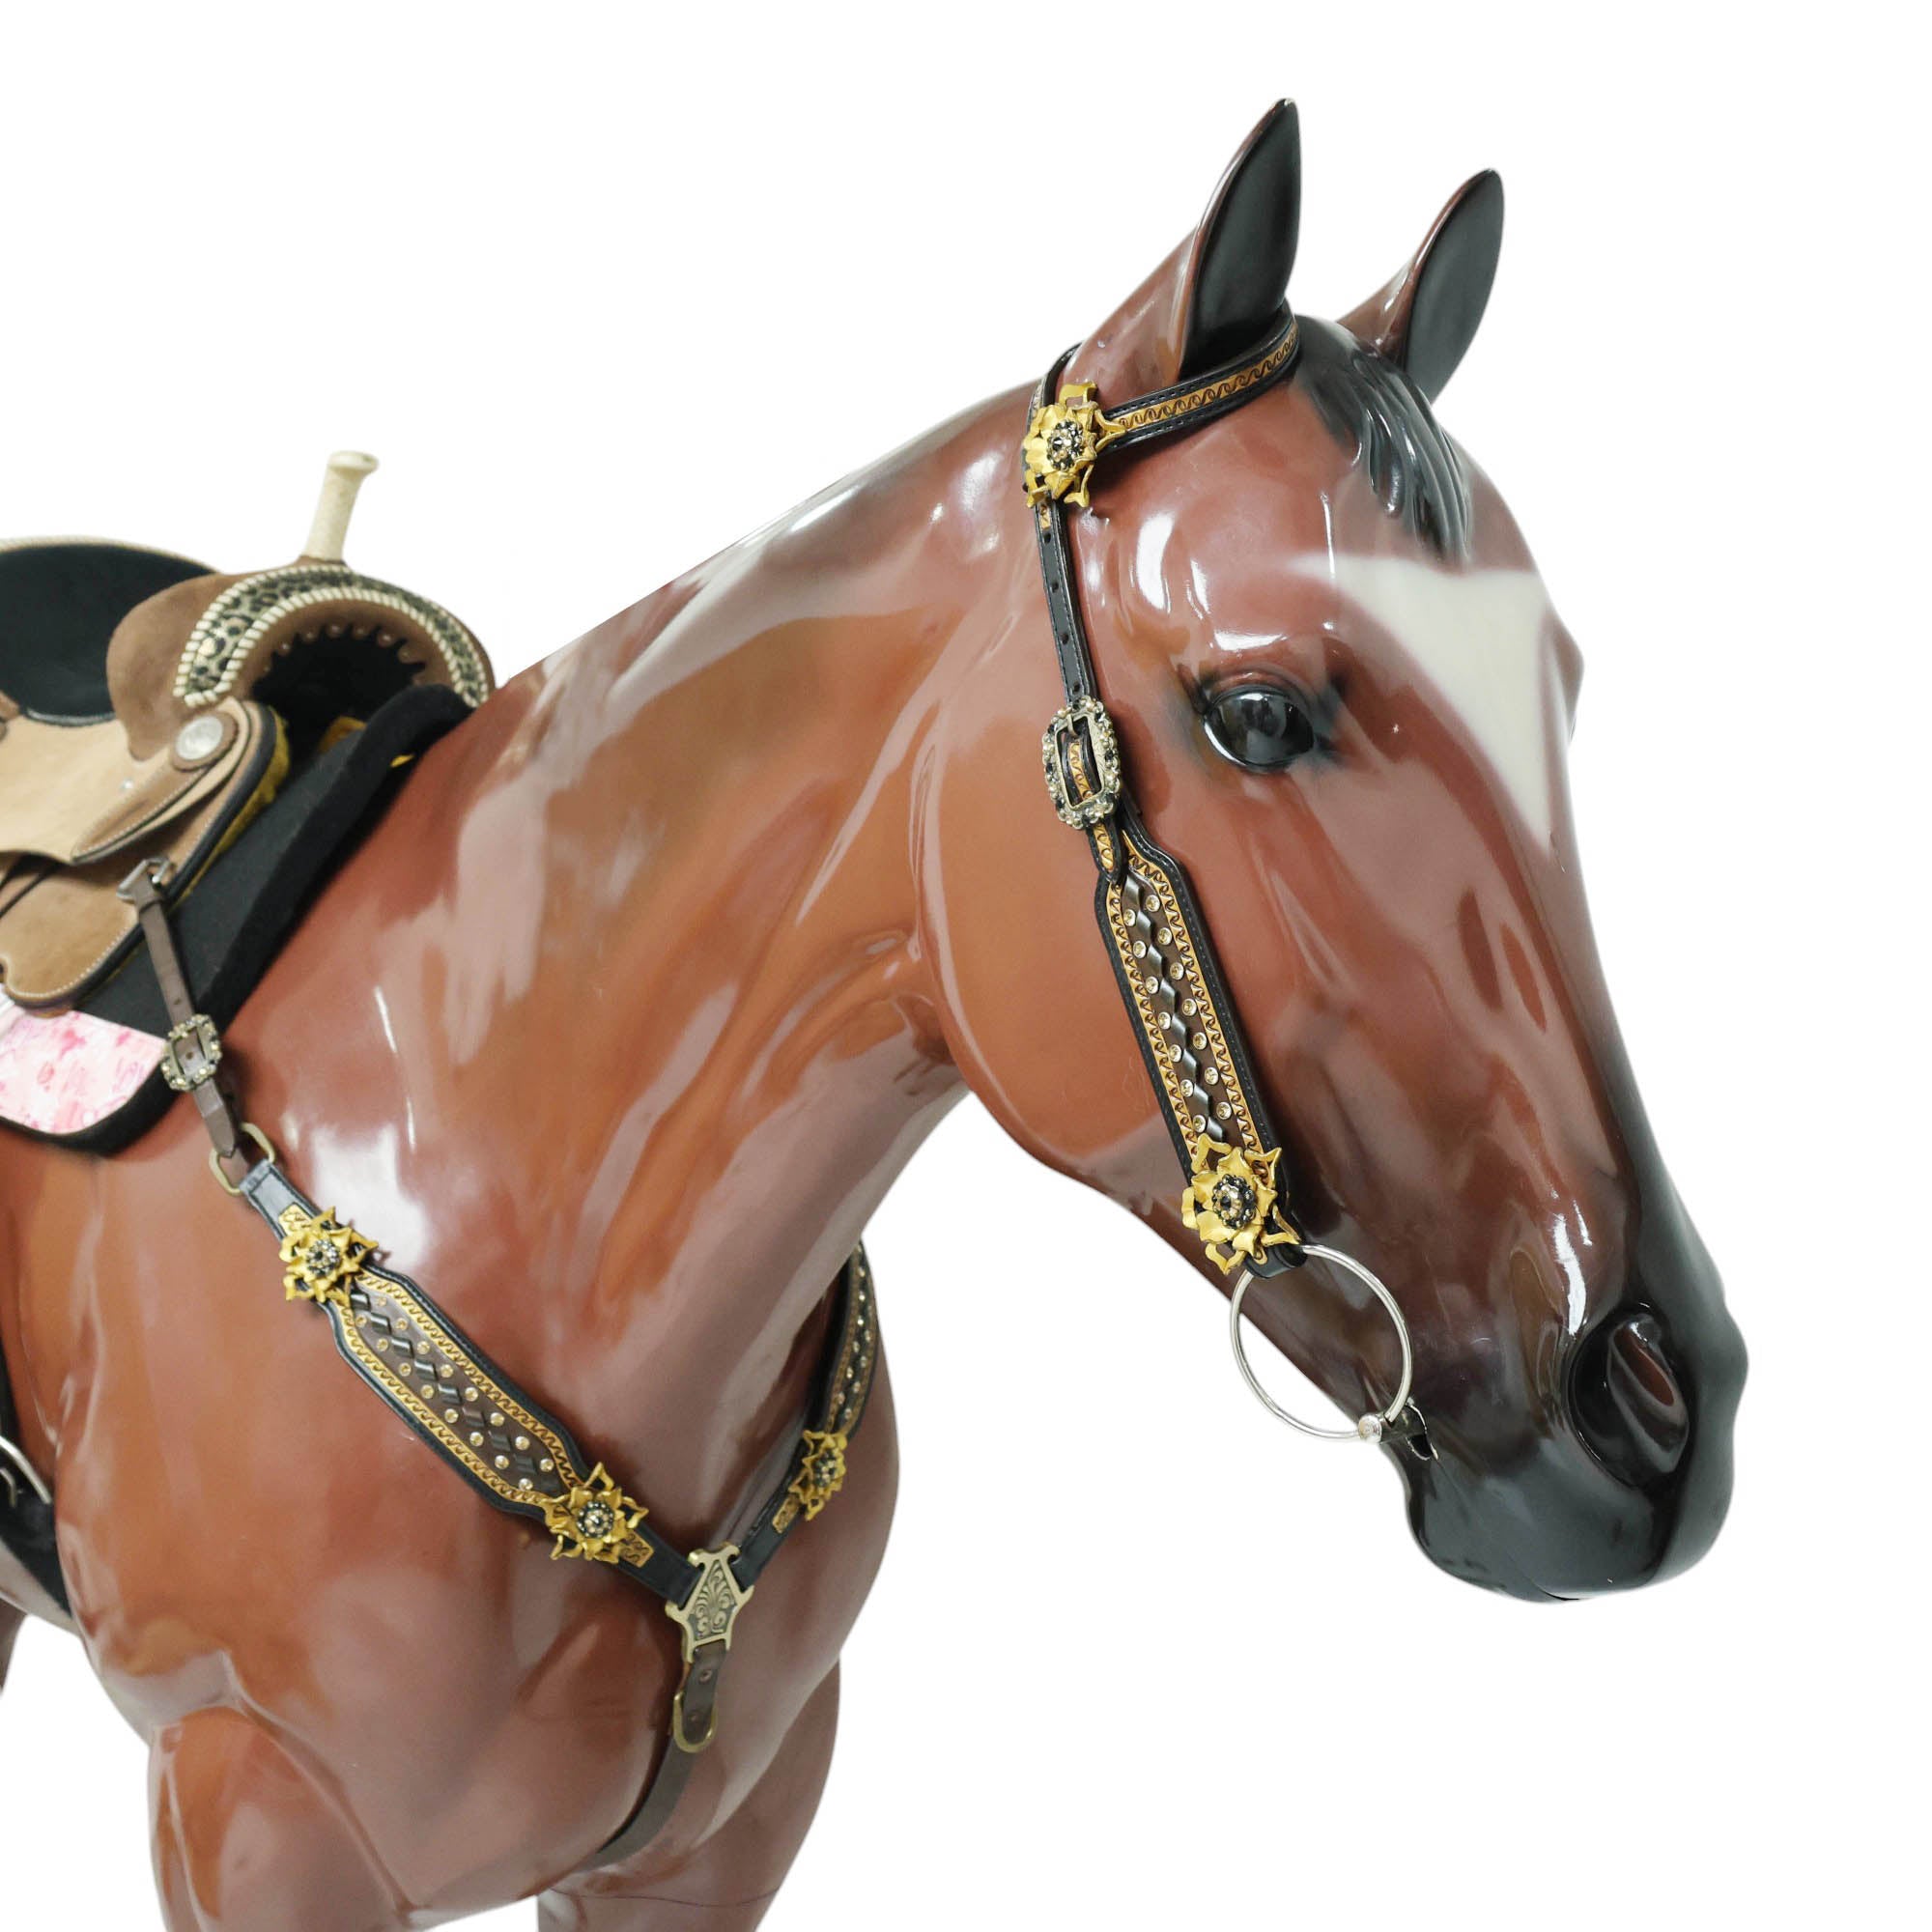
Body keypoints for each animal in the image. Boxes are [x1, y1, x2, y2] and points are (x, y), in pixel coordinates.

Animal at [0, 101, 1746, 1928]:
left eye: (1558, 688)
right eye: (1262, 711)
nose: (1656, 1411)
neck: (478, 1174)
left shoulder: (730, 1826)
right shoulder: (252, 1823)